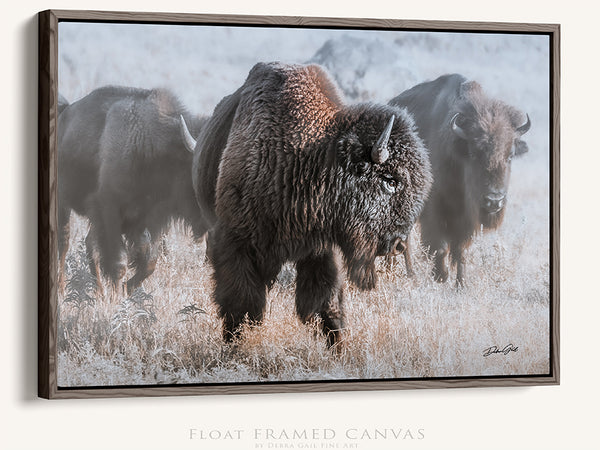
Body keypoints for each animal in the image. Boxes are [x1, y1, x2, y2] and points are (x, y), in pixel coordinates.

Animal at [58, 85, 207, 296]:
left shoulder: (151, 220)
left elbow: (149, 263)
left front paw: (125, 290)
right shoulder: (110, 210)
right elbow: (119, 262)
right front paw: (117, 295)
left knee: (89, 245)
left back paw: (99, 291)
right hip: (62, 203)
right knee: (64, 243)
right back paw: (62, 289)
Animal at [183, 61, 432, 346]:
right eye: (390, 180)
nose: (399, 244)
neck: (309, 158)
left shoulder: (319, 250)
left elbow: (325, 302)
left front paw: (338, 347)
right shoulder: (234, 240)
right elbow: (241, 301)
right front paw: (234, 343)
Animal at [392, 73, 532, 284]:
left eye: (510, 155)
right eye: (474, 154)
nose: (494, 201)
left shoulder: (467, 217)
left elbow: (461, 251)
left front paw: (461, 284)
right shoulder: (434, 210)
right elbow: (440, 246)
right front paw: (441, 276)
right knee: (403, 239)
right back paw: (410, 274)